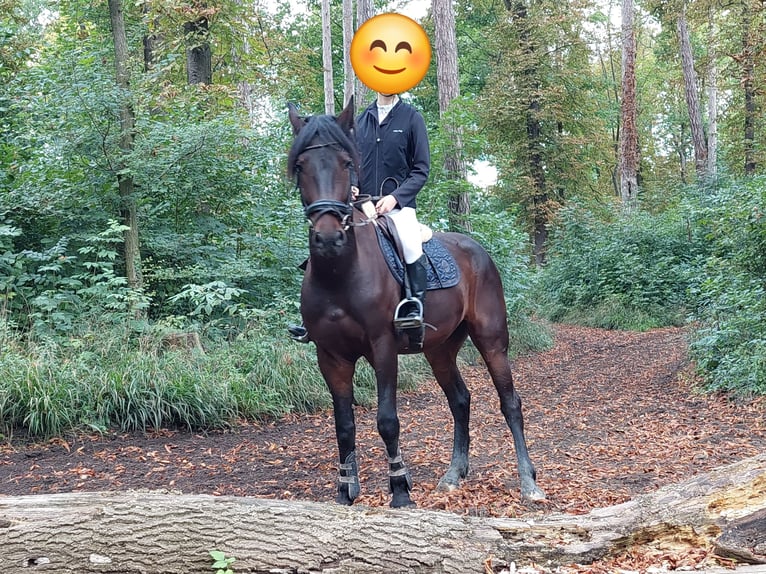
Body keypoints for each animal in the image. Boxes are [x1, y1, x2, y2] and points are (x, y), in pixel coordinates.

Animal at [287, 98, 545, 508]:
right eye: (300, 166)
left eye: (345, 163)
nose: (328, 239)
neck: (340, 273)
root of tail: (476, 249)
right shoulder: (330, 356)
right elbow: (343, 425)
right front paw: (345, 493)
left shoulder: (382, 348)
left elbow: (387, 420)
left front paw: (400, 491)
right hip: (439, 350)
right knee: (460, 400)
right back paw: (454, 475)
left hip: (491, 340)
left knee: (510, 402)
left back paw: (528, 482)